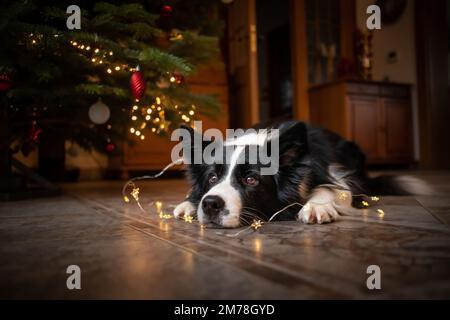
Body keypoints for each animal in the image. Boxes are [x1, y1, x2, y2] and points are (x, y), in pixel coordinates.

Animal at [173, 120, 428, 228]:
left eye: (251, 179)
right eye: (212, 178)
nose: (210, 204)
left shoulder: (335, 175)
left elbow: (331, 188)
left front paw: (316, 207)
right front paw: (188, 204)